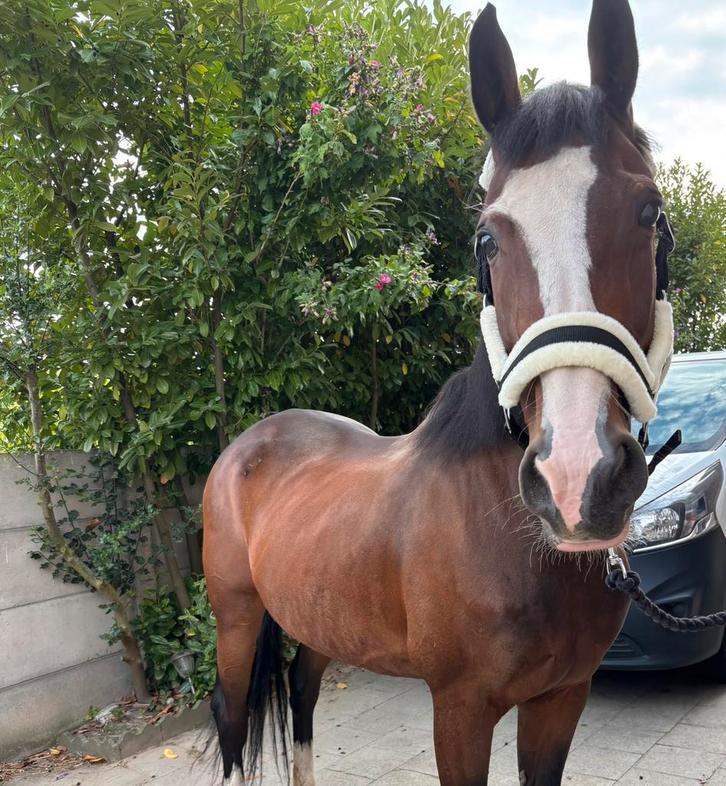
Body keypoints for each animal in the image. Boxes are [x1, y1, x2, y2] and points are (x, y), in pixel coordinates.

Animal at [202, 1, 675, 783]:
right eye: (487, 238)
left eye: (647, 212)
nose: (576, 479)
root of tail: (245, 447)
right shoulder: (460, 709)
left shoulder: (562, 700)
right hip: (235, 620)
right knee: (234, 720)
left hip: (315, 618)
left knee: (300, 696)